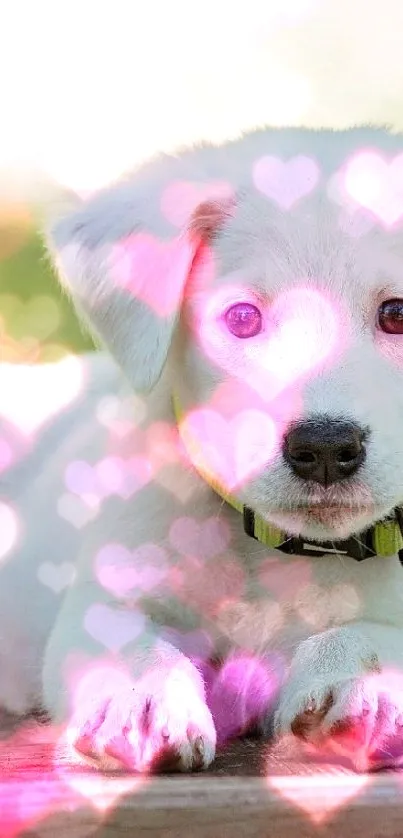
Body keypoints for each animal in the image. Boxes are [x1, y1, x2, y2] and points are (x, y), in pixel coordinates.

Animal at [2, 124, 403, 776]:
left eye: (396, 313)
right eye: (242, 318)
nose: (323, 446)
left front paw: (362, 680)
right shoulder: (106, 594)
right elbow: (123, 643)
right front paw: (140, 695)